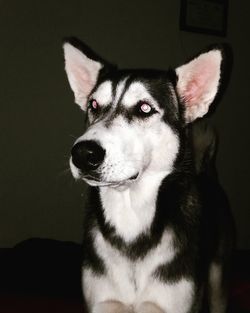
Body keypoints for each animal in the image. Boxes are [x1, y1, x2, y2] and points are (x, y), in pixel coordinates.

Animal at [62, 38, 234, 312]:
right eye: (93, 105)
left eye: (144, 108)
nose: (83, 153)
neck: (131, 226)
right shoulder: (103, 302)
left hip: (218, 279)